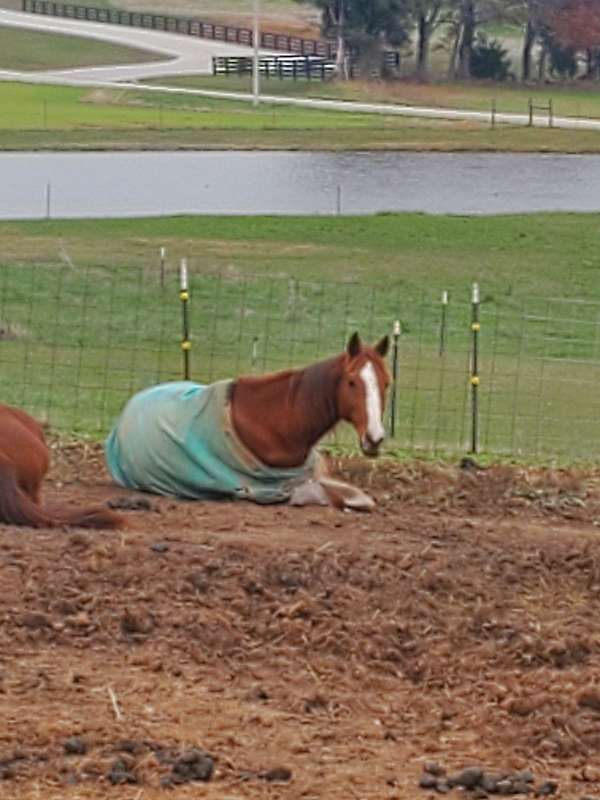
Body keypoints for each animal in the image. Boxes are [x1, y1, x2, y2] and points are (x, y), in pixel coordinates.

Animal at [105, 332, 392, 512]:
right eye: (352, 381)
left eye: (387, 383)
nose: (374, 438)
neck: (276, 420)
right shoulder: (278, 489)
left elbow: (362, 498)